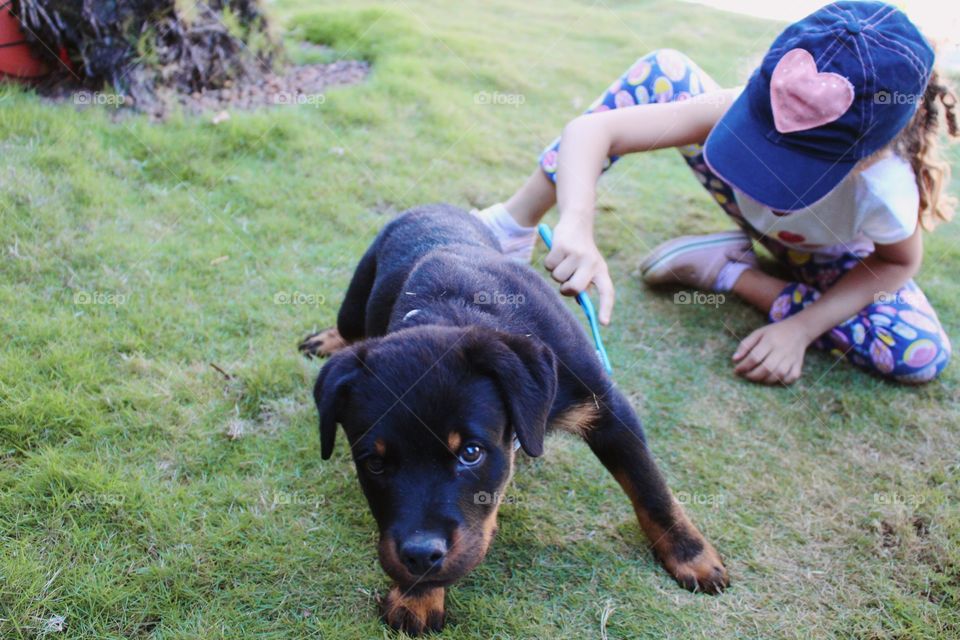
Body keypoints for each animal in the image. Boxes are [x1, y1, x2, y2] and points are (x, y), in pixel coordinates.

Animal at [304, 205, 732, 636]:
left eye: (471, 453)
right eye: (374, 464)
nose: (421, 555)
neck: (459, 308)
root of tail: (432, 206)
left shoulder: (606, 408)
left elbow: (649, 486)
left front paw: (691, 556)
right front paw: (417, 596)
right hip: (355, 301)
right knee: (348, 327)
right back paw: (326, 339)